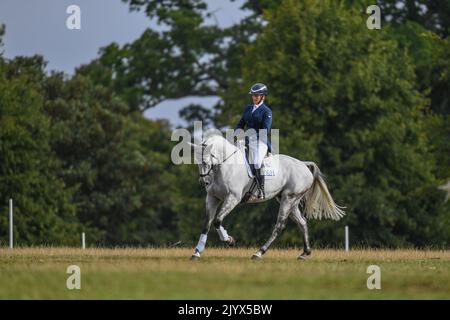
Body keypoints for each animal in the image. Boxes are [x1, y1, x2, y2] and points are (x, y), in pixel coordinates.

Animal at [189, 133, 344, 260]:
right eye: (197, 162)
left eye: (205, 161)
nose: (204, 182)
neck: (225, 165)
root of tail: (304, 165)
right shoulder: (212, 198)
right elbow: (207, 224)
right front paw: (197, 252)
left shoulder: (232, 198)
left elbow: (217, 220)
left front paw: (229, 240)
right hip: (289, 200)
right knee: (302, 222)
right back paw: (305, 253)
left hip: (288, 199)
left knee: (279, 225)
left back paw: (259, 253)